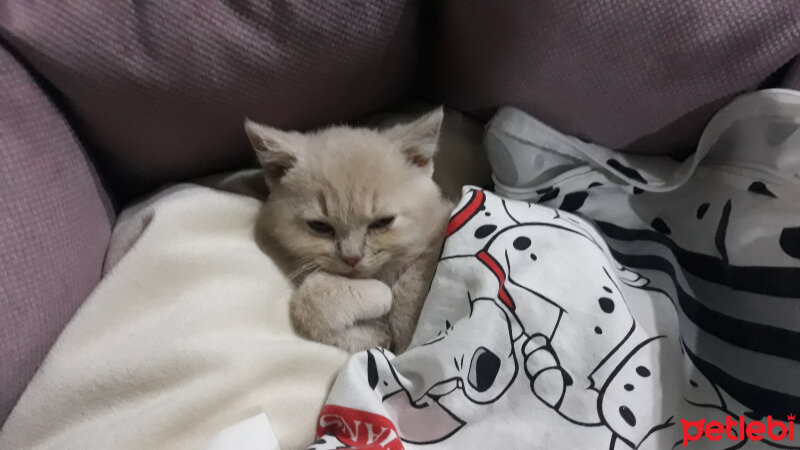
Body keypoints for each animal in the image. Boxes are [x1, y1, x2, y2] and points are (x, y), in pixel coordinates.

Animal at [247, 108, 454, 352]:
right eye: (320, 226)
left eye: (382, 222)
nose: (352, 258)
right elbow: (312, 305)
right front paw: (378, 296)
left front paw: (388, 293)